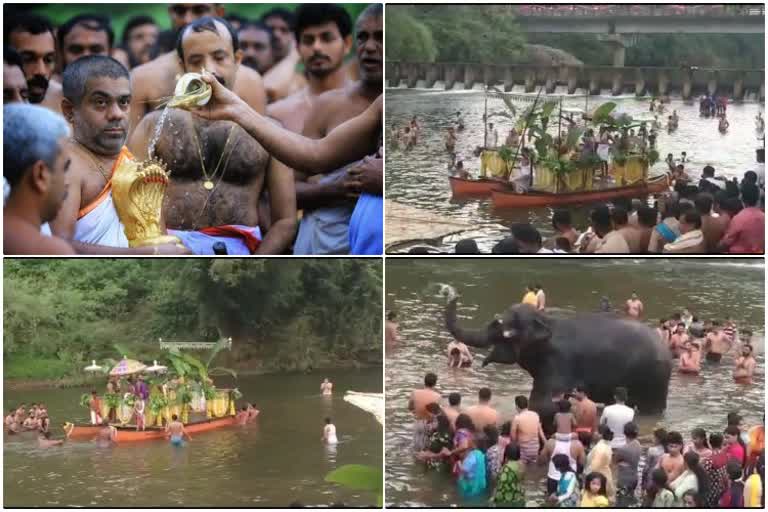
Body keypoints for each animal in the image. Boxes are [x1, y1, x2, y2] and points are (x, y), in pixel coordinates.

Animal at [444, 294, 672, 414]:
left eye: (504, 329)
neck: (546, 320)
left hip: (653, 378)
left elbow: (541, 401)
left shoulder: (559, 361)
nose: (454, 294)